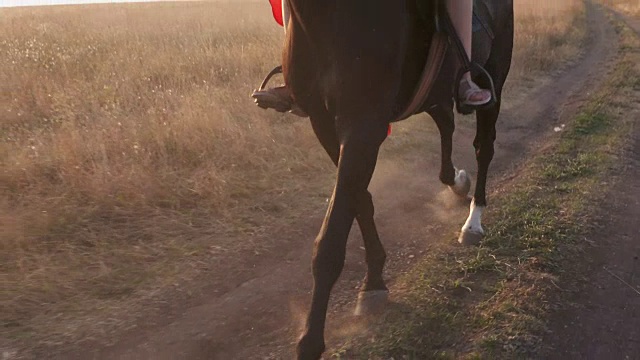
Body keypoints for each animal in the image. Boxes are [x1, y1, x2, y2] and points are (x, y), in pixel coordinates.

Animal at [280, 1, 516, 358]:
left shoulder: (363, 127)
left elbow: (332, 239)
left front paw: (310, 340)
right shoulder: (324, 125)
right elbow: (360, 202)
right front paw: (374, 280)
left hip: (495, 78)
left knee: (483, 147)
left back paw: (473, 222)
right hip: (434, 90)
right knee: (445, 120)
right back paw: (456, 182)